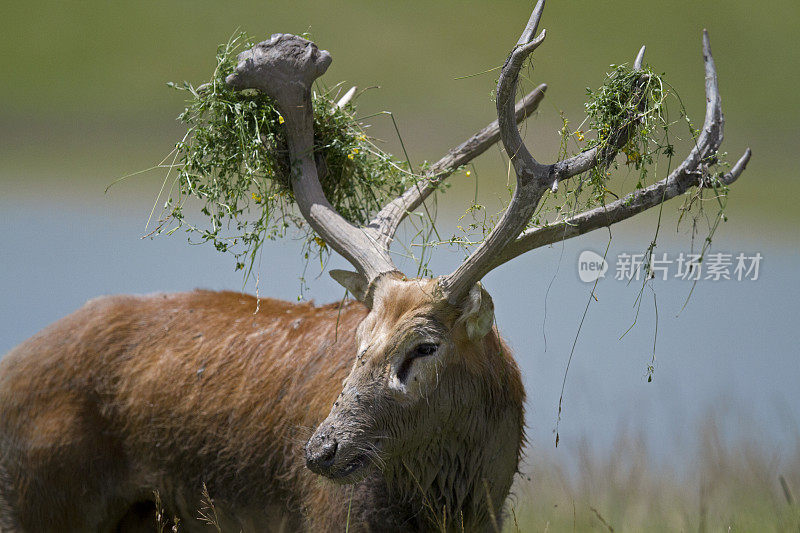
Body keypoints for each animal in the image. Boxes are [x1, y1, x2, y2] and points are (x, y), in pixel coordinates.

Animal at [0, 2, 752, 528]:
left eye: (423, 347)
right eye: (355, 339)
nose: (319, 452)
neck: (459, 509)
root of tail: (12, 364)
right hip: (39, 502)